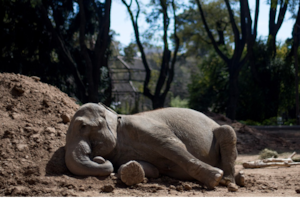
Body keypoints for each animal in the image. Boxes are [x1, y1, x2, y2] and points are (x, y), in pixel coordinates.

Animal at [65, 103, 244, 191]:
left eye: (83, 126)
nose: (98, 158)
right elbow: (154, 169)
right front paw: (131, 169)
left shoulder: (147, 127)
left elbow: (174, 146)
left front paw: (215, 178)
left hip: (223, 132)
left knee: (228, 132)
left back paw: (228, 181)